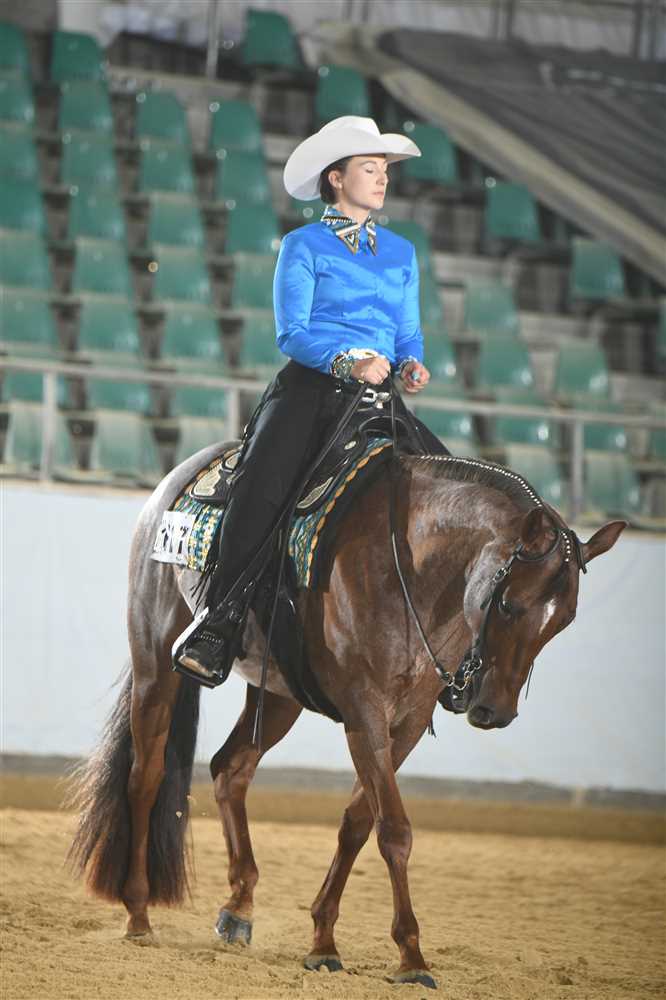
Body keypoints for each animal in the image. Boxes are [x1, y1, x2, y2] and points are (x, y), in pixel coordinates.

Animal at [68, 438, 625, 990]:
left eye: (564, 620)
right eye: (508, 603)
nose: (494, 710)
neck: (412, 566)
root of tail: (181, 475)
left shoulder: (408, 723)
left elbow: (359, 821)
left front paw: (323, 941)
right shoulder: (364, 713)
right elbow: (394, 829)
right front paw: (411, 957)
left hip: (279, 695)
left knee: (230, 769)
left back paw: (239, 908)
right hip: (154, 659)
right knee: (146, 775)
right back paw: (138, 914)